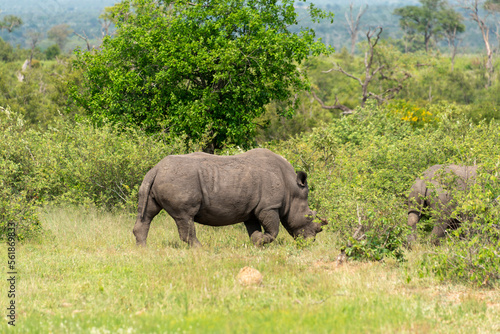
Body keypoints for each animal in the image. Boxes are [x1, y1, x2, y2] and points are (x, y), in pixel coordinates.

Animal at [133, 147, 328, 247]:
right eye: (309, 216)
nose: (311, 241)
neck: (292, 189)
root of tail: (156, 169)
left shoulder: (253, 209)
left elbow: (253, 229)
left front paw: (257, 242)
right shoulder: (269, 206)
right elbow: (273, 230)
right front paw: (263, 241)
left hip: (158, 180)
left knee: (148, 213)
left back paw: (143, 249)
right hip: (179, 180)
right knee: (185, 216)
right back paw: (201, 249)